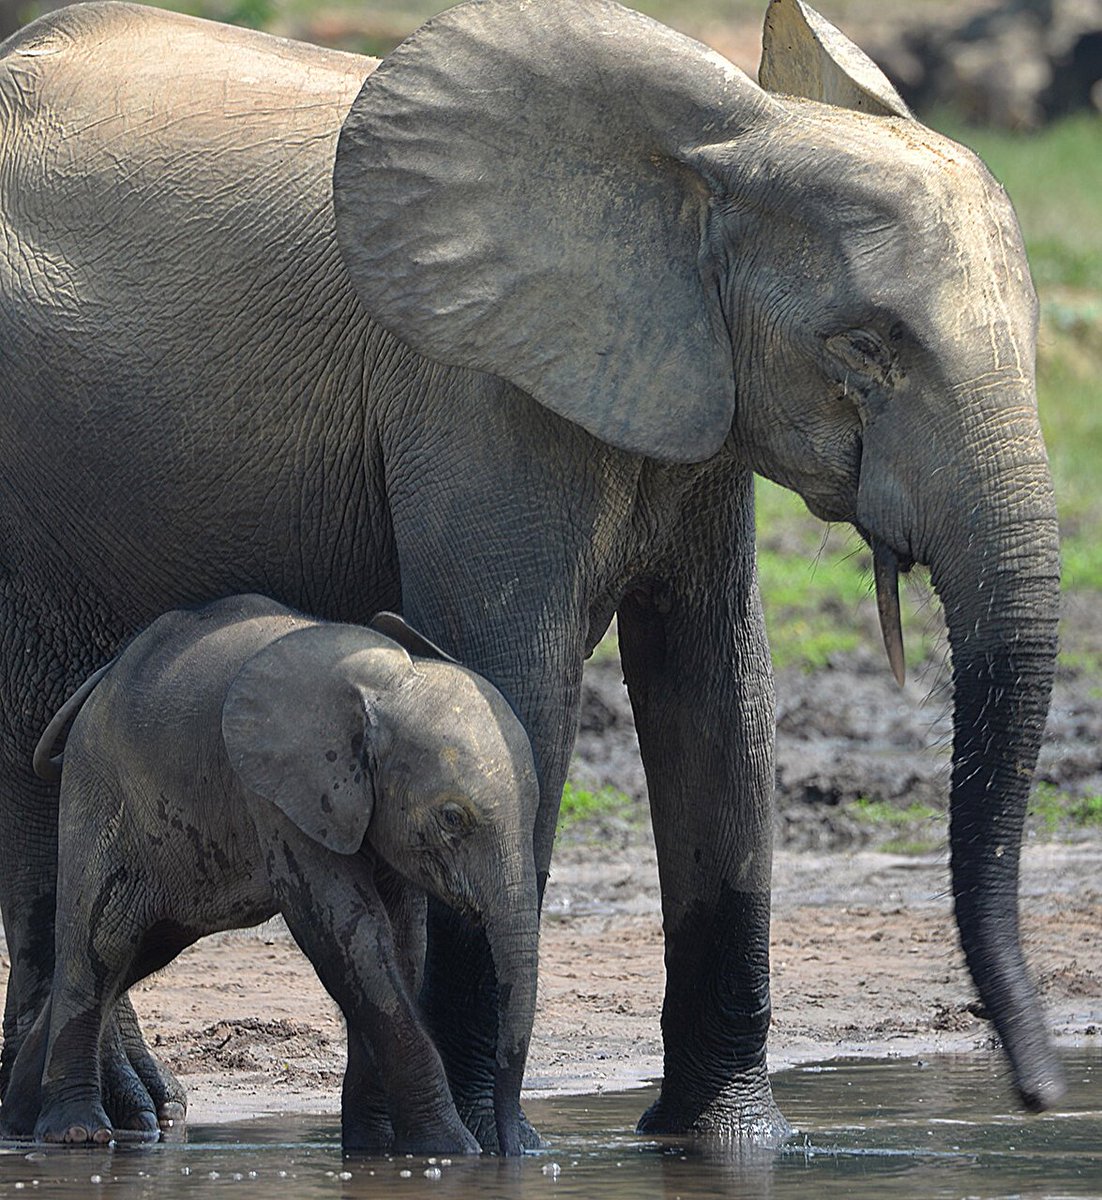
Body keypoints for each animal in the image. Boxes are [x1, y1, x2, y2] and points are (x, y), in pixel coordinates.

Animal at [0, 595, 539, 1154]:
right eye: (453, 819)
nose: (514, 1149)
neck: (385, 687)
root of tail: (103, 679)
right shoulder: (281, 796)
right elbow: (348, 934)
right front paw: (451, 1151)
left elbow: (400, 944)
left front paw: (374, 1150)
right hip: (99, 789)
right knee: (99, 948)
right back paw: (76, 1132)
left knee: (134, 954)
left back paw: (19, 1124)